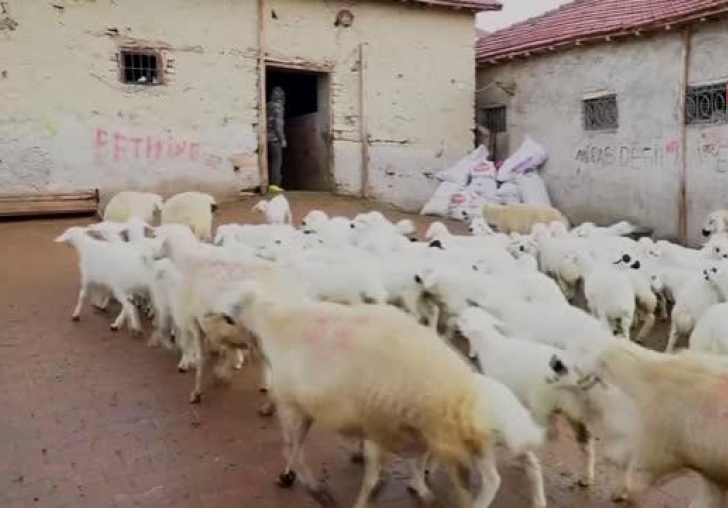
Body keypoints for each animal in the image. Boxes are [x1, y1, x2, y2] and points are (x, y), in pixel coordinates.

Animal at [219, 282, 544, 508]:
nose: (224, 313)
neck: (274, 320)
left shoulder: (294, 405)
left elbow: (295, 448)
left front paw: (312, 487)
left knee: (480, 480)